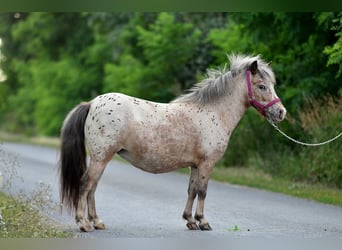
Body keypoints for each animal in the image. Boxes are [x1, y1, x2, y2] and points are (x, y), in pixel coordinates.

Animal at [59, 54, 286, 232]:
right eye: (262, 86)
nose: (281, 112)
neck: (214, 112)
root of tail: (92, 103)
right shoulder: (206, 164)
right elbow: (202, 191)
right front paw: (203, 222)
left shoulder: (195, 165)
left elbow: (192, 190)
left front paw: (190, 221)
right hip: (101, 157)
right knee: (85, 184)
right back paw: (84, 224)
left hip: (102, 158)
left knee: (93, 187)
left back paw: (96, 222)